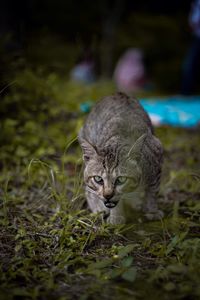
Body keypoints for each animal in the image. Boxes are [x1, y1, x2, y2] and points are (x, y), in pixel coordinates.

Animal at [77, 92, 163, 224]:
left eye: (121, 179)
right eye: (98, 179)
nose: (107, 196)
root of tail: (117, 93)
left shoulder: (156, 157)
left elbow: (152, 192)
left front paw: (152, 211)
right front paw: (116, 217)